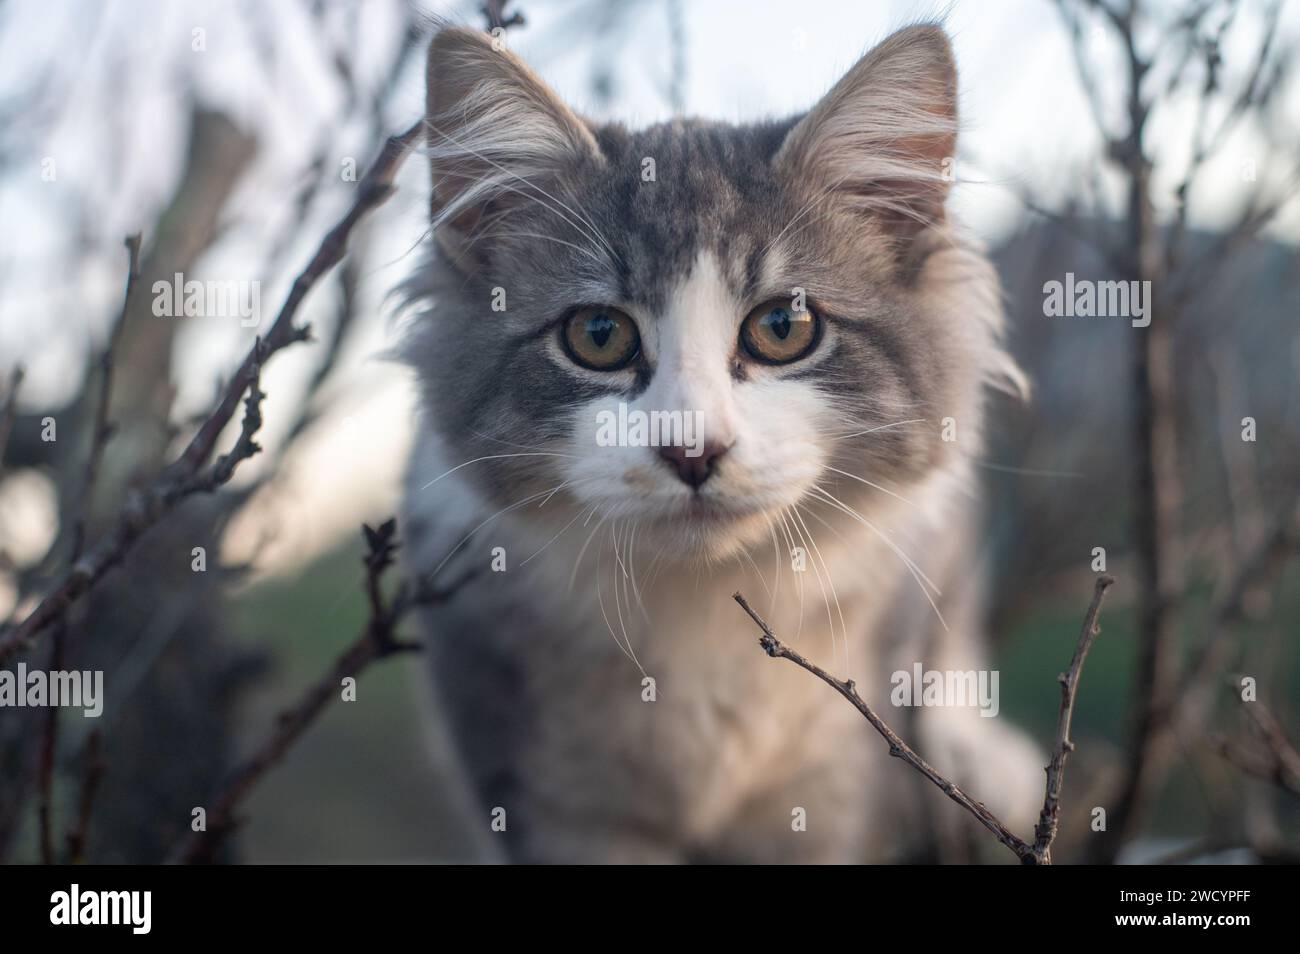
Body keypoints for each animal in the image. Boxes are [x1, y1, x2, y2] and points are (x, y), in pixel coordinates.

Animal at [400, 22, 1040, 868]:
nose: (692, 450)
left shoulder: (830, 786)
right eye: (597, 335)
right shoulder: (553, 800)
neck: (702, 608)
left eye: (783, 328)